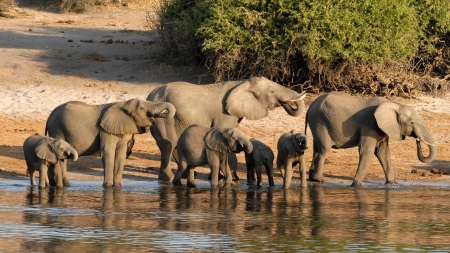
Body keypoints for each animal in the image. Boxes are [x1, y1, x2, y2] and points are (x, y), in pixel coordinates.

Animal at [45, 98, 176, 187]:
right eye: (142, 108)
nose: (159, 115)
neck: (123, 103)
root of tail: (50, 115)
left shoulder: (119, 130)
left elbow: (120, 154)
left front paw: (117, 187)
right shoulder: (105, 131)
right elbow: (108, 153)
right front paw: (107, 187)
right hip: (57, 129)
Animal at [146, 76, 308, 181]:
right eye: (272, 92)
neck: (242, 83)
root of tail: (149, 96)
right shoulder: (224, 114)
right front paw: (222, 177)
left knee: (175, 146)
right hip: (164, 119)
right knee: (168, 145)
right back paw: (167, 179)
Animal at [306, 92, 436, 187]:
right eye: (412, 123)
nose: (418, 140)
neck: (395, 104)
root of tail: (310, 106)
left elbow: (383, 152)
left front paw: (392, 184)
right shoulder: (369, 124)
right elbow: (367, 150)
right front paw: (356, 185)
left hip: (318, 123)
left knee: (316, 148)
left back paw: (312, 178)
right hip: (320, 121)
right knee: (324, 148)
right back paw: (319, 180)